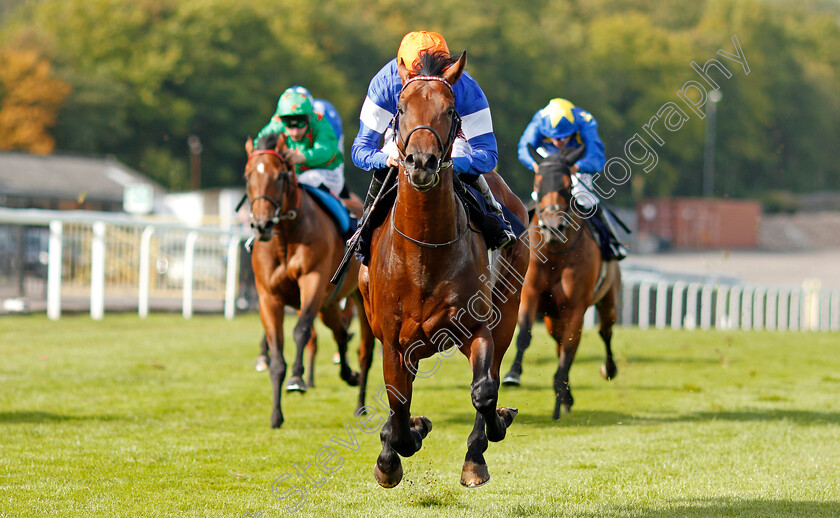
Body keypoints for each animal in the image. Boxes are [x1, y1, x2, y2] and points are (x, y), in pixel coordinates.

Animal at [243, 135, 374, 430]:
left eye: (280, 176)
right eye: (248, 175)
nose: (262, 225)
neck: (285, 238)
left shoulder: (313, 282)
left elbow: (301, 331)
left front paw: (297, 379)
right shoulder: (268, 297)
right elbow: (277, 353)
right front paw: (276, 415)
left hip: (359, 299)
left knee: (365, 351)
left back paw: (360, 404)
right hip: (329, 304)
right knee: (340, 333)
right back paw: (348, 374)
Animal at [358, 50, 528, 490]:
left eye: (450, 110)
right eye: (400, 108)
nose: (421, 162)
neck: (424, 254)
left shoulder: (477, 327)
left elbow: (484, 391)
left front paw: (485, 441)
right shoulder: (393, 341)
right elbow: (398, 407)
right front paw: (395, 451)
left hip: (508, 308)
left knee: (493, 374)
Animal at [502, 146, 620, 422]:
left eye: (567, 185)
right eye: (538, 182)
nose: (553, 227)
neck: (555, 254)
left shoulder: (576, 307)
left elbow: (569, 351)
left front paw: (558, 398)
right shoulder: (530, 294)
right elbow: (525, 334)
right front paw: (513, 374)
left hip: (607, 297)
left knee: (604, 331)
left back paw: (607, 370)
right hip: (552, 316)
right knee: (558, 341)